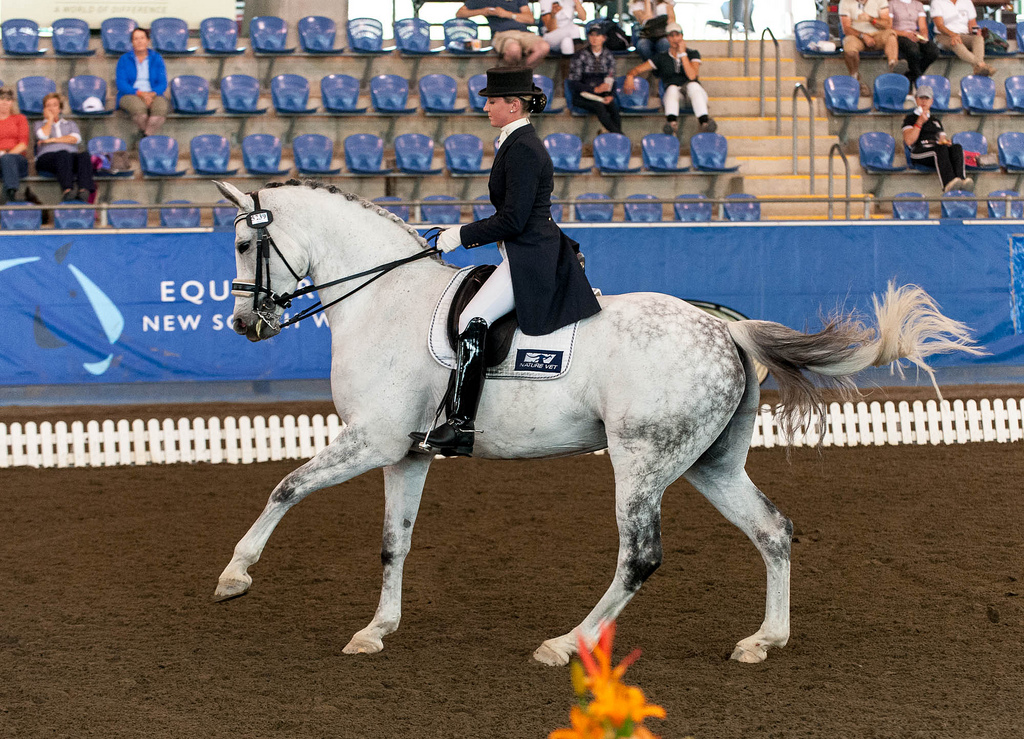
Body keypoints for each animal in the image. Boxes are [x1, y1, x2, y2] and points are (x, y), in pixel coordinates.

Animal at [211, 179, 980, 666]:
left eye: (246, 246)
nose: (246, 324)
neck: (384, 297)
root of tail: (727, 330)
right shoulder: (408, 452)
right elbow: (393, 544)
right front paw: (376, 630)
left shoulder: (371, 439)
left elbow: (285, 487)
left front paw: (235, 575)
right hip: (707, 463)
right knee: (773, 530)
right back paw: (763, 641)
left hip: (640, 460)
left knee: (640, 555)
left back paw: (566, 644)